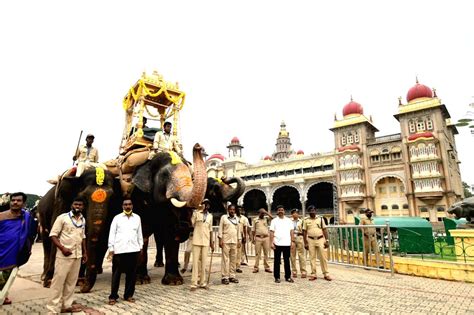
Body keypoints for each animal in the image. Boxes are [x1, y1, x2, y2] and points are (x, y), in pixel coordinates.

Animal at [132, 144, 208, 286]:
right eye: (165, 176)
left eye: (191, 176)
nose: (198, 146)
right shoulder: (138, 197)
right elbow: (142, 233)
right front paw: (141, 281)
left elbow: (170, 234)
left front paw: (174, 282)